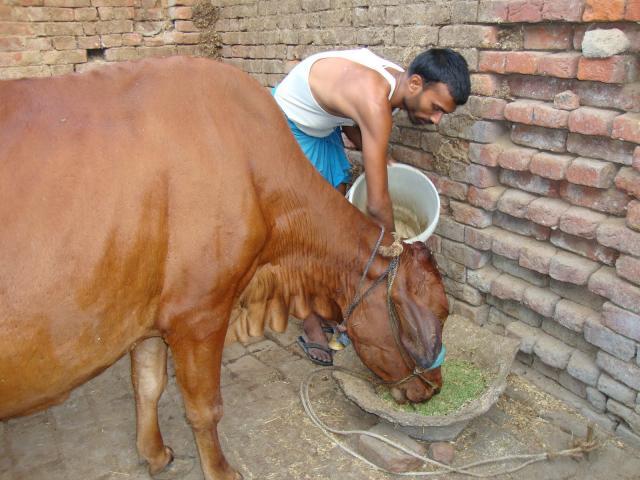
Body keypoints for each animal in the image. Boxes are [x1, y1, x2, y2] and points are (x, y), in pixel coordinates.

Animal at [0, 57, 448, 480]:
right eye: (428, 318)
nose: (435, 388)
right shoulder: (199, 314)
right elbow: (204, 408)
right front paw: (220, 470)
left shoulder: (148, 316)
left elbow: (148, 385)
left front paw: (156, 454)